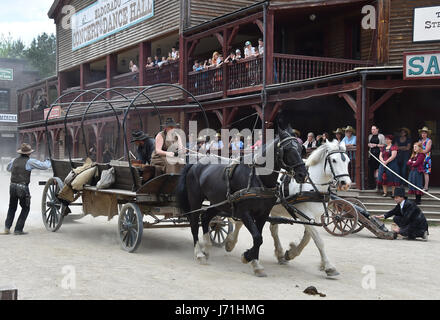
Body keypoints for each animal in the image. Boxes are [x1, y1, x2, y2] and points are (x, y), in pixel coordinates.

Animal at [174, 125, 306, 278]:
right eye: (288, 149)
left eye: (301, 148)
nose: (303, 174)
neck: (258, 178)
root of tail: (196, 163)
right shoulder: (244, 213)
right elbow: (257, 237)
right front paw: (247, 257)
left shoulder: (263, 214)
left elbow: (259, 238)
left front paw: (255, 262)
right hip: (195, 200)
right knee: (195, 223)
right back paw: (199, 253)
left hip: (218, 203)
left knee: (206, 218)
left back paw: (206, 248)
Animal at [225, 140, 352, 278]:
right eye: (334, 160)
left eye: (348, 160)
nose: (345, 183)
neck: (312, 185)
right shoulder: (304, 215)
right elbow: (318, 240)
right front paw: (329, 267)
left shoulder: (314, 217)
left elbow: (307, 238)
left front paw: (291, 253)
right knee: (240, 223)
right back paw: (231, 243)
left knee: (273, 229)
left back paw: (280, 254)